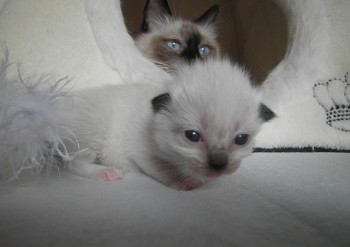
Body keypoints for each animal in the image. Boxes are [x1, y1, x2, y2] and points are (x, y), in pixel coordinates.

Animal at [57, 58, 274, 191]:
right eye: (192, 136)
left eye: (241, 139)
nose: (218, 165)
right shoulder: (143, 153)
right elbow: (165, 168)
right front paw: (187, 182)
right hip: (91, 129)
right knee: (72, 163)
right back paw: (105, 172)